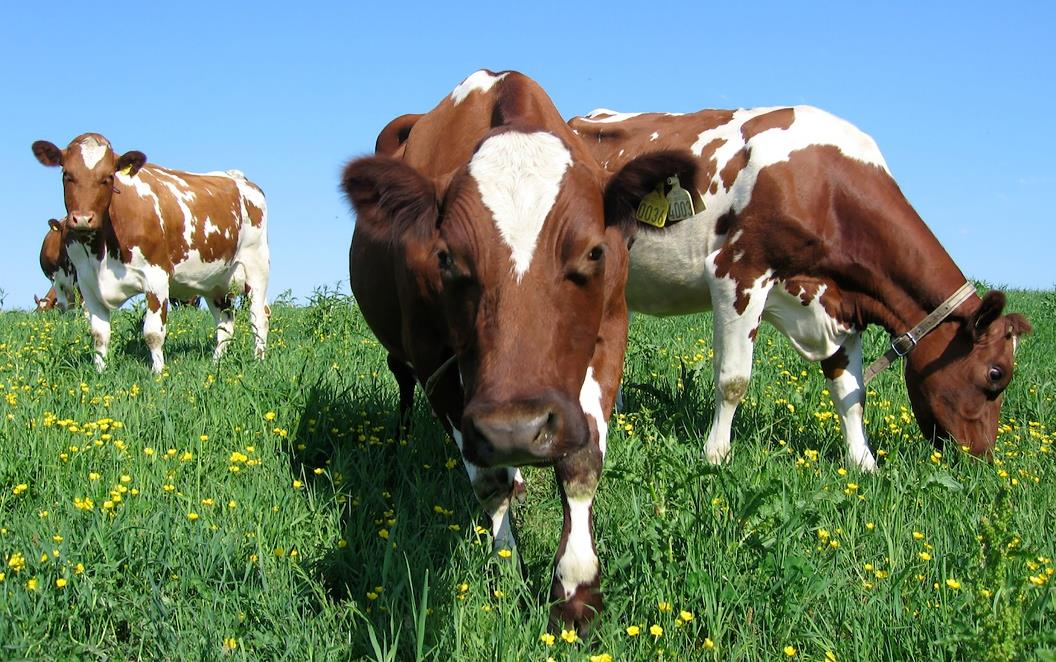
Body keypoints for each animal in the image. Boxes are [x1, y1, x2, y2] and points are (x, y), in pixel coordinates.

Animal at [35, 133, 270, 373]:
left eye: (109, 177)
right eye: (67, 174)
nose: (82, 219)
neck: (101, 251)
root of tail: (237, 177)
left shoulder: (156, 277)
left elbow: (153, 333)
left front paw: (158, 373)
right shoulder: (87, 282)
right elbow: (99, 334)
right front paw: (100, 371)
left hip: (256, 266)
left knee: (259, 317)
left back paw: (259, 360)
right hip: (214, 282)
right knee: (225, 324)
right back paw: (216, 363)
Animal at [342, 71, 696, 633]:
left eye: (594, 251)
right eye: (446, 257)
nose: (515, 429)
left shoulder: (610, 330)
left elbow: (581, 460)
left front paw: (575, 592)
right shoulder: (433, 357)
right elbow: (488, 480)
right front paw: (505, 572)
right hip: (403, 353)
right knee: (403, 385)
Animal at [570, 107, 1030, 470]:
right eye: (996, 374)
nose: (983, 458)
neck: (825, 189)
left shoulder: (843, 301)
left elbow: (851, 391)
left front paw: (862, 463)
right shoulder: (737, 273)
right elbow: (733, 379)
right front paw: (716, 455)